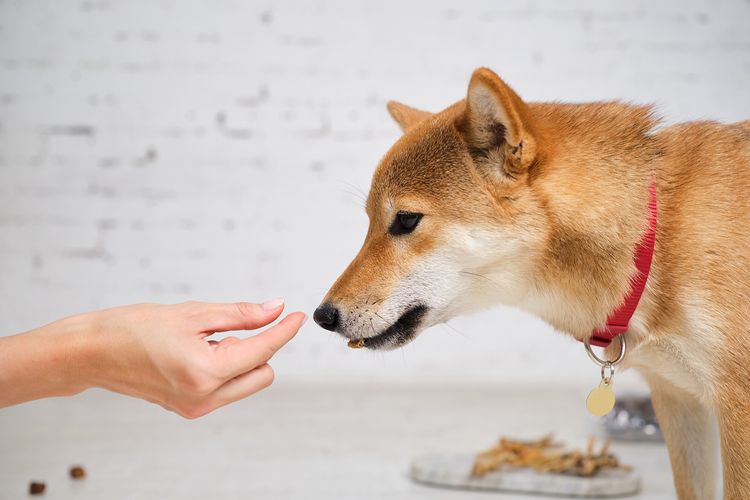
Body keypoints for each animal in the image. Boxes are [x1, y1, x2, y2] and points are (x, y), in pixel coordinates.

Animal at [314, 67, 750, 500]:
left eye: (405, 220)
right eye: (369, 222)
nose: (322, 316)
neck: (653, 237)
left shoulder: (732, 409)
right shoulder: (679, 401)